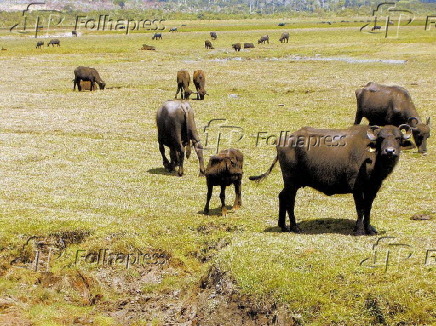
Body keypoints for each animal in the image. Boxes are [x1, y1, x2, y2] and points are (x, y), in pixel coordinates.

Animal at [250, 123, 410, 236]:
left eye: (398, 138)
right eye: (381, 138)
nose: (389, 151)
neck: (373, 159)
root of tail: (283, 140)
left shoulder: (373, 188)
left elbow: (368, 208)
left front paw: (369, 229)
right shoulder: (357, 188)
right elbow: (360, 209)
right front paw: (359, 230)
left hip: (291, 183)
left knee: (282, 196)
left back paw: (283, 226)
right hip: (291, 181)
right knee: (289, 200)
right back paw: (295, 227)